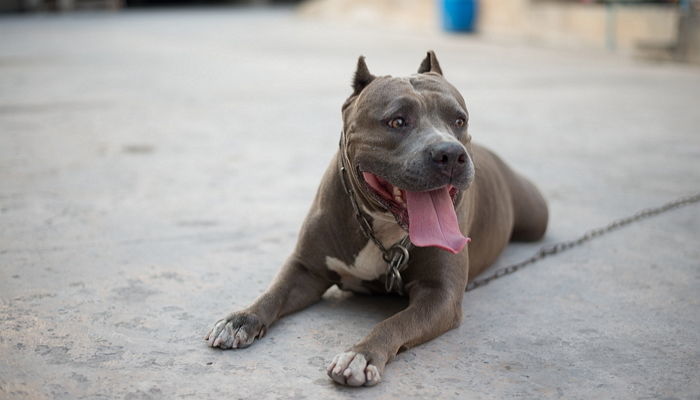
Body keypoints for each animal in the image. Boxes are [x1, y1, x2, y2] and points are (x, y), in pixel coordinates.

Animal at [205, 51, 548, 386]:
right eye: (397, 121)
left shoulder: (441, 296)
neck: (384, 226)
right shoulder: (306, 268)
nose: (451, 153)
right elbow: (272, 293)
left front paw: (361, 355)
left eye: (459, 120)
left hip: (536, 219)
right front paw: (241, 319)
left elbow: (395, 322)